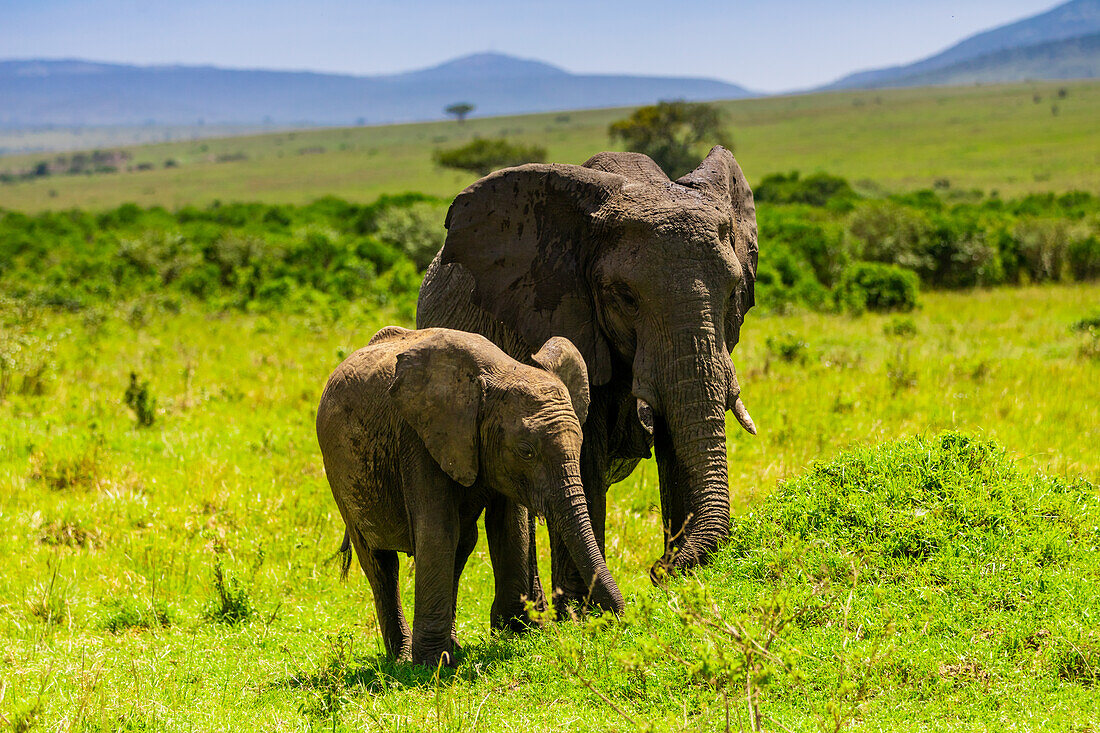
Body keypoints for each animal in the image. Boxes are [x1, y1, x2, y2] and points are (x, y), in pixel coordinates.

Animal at [319, 323, 629, 660]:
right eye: (526, 451)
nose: (617, 621)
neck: (500, 373)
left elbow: (510, 527)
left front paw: (515, 634)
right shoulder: (418, 436)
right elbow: (438, 529)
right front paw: (433, 663)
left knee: (462, 545)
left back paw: (449, 647)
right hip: (339, 475)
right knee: (380, 561)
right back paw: (403, 656)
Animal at [415, 145, 761, 607]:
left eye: (734, 290)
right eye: (626, 297)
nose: (658, 570)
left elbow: (676, 445)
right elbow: (585, 455)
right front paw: (583, 613)